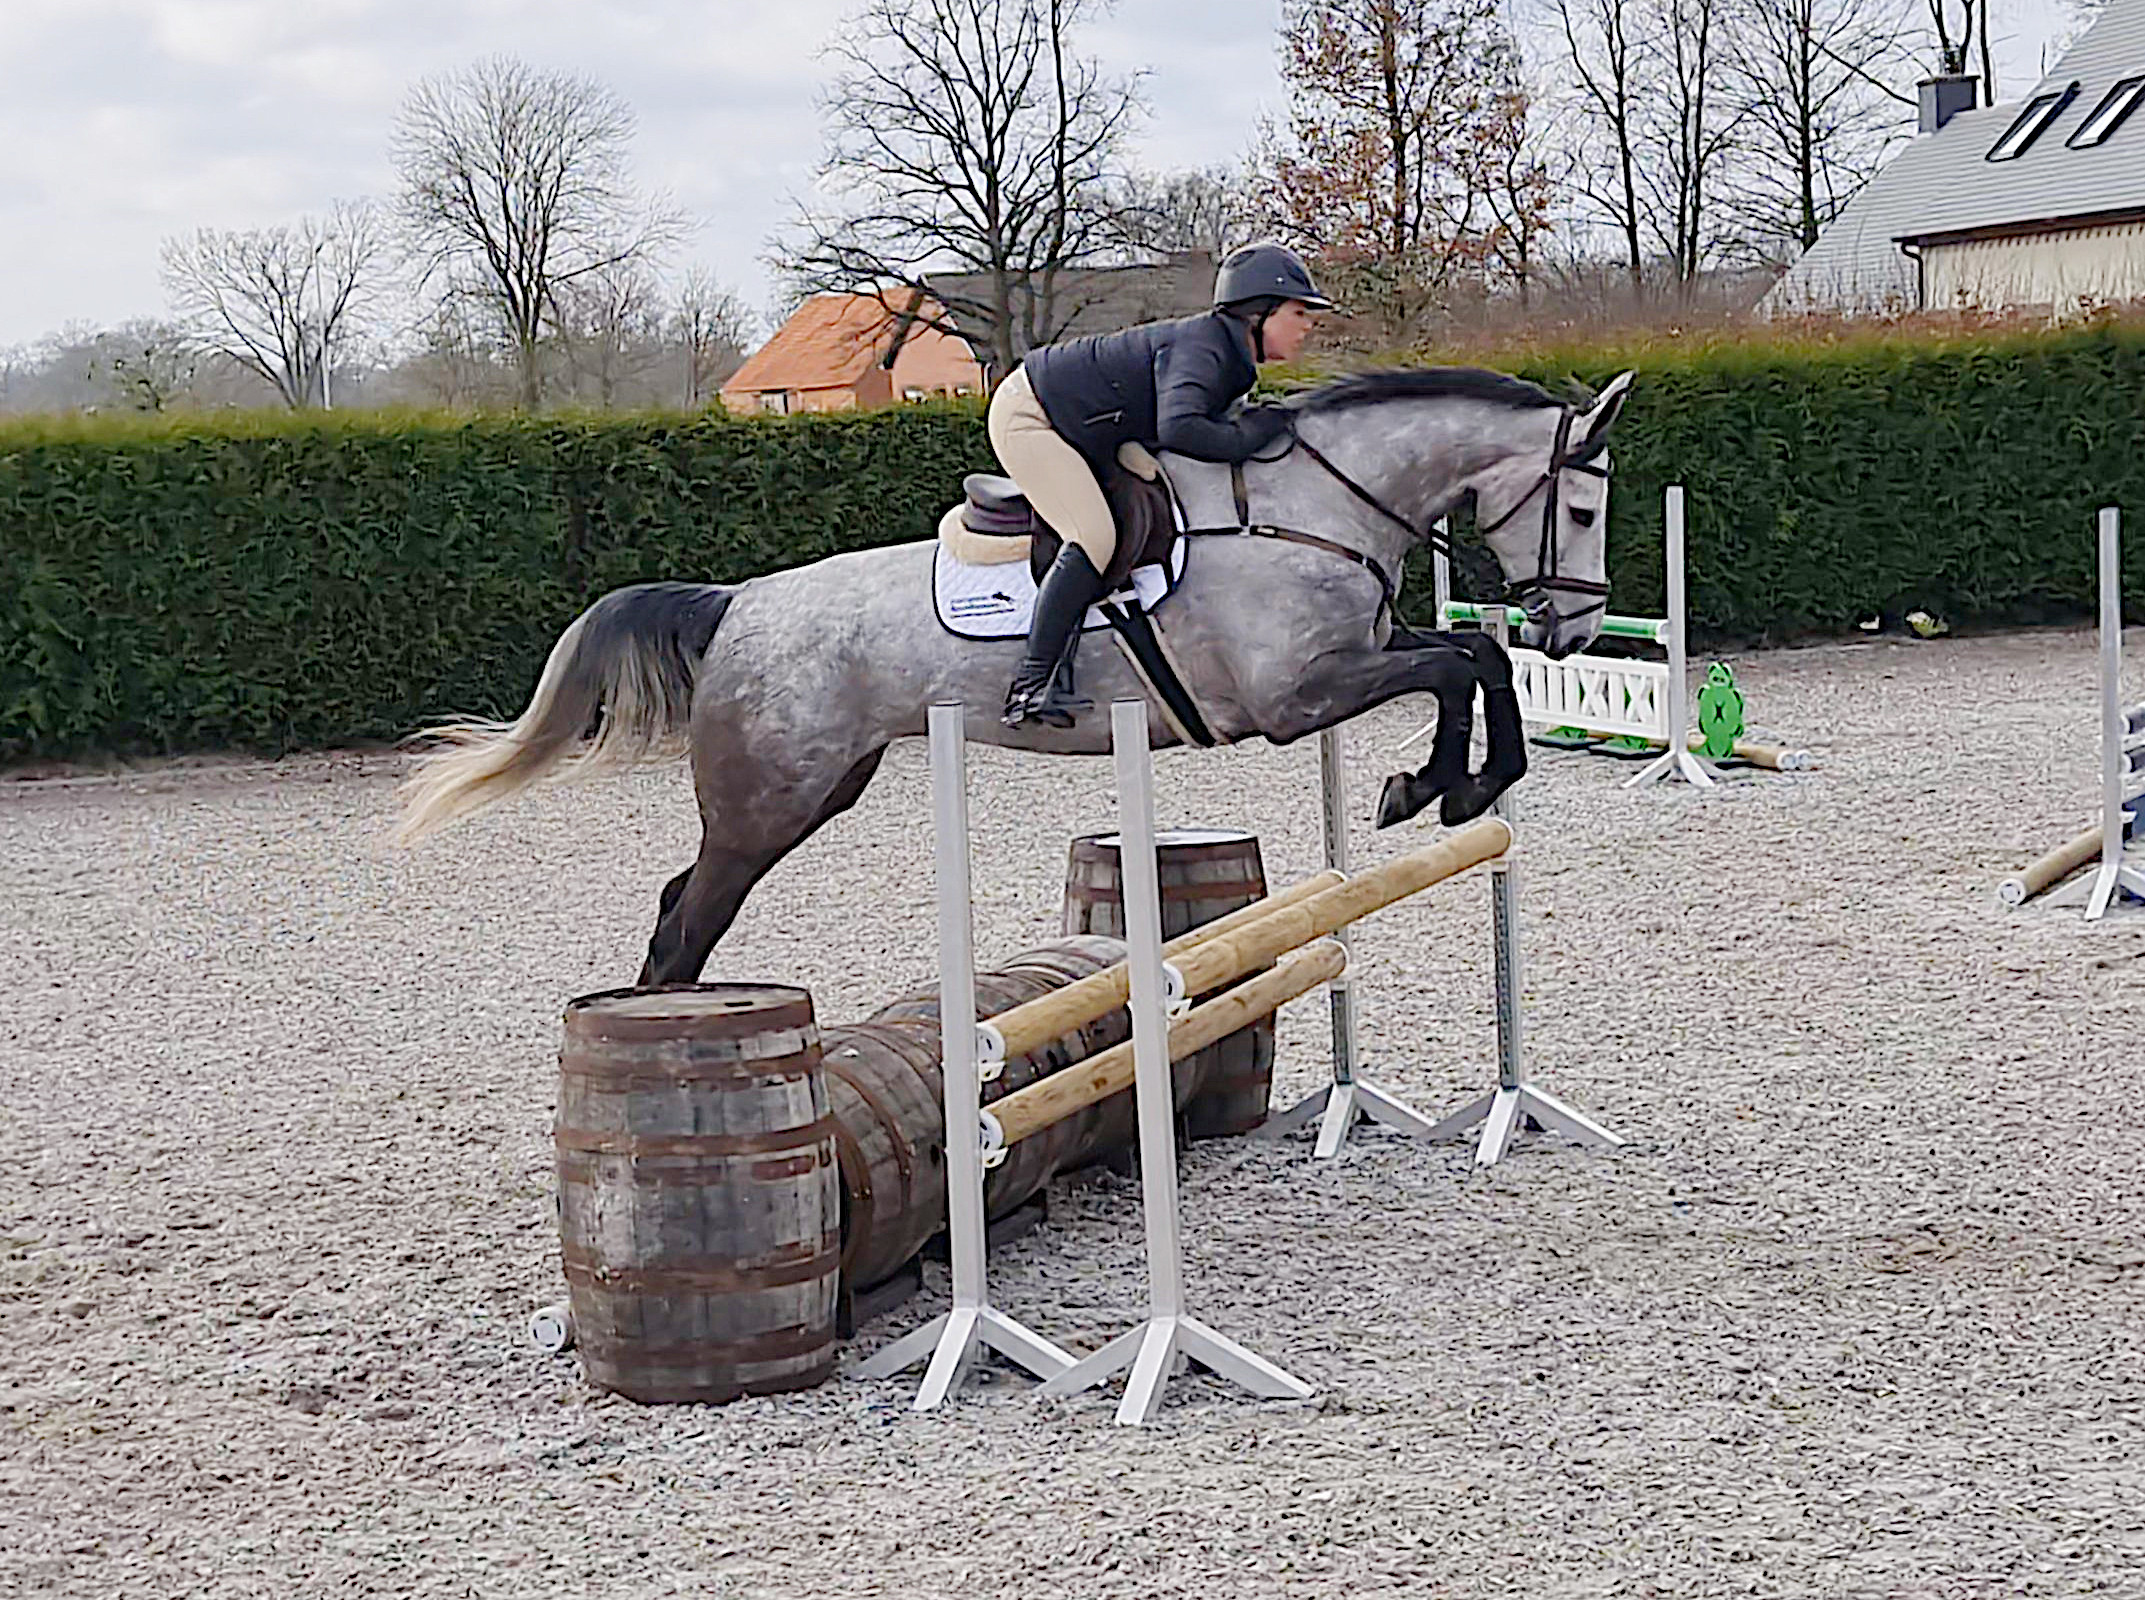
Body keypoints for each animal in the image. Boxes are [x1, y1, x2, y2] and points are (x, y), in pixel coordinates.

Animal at [394, 365, 1634, 985]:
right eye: (1581, 510)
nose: (1575, 631)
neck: (1308, 502)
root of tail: (737, 601)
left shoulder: (1350, 665)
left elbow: (1472, 656)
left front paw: (1456, 785)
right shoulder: (1299, 696)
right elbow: (1457, 663)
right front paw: (1433, 787)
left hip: (818, 787)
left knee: (677, 905)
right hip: (765, 804)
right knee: (685, 922)